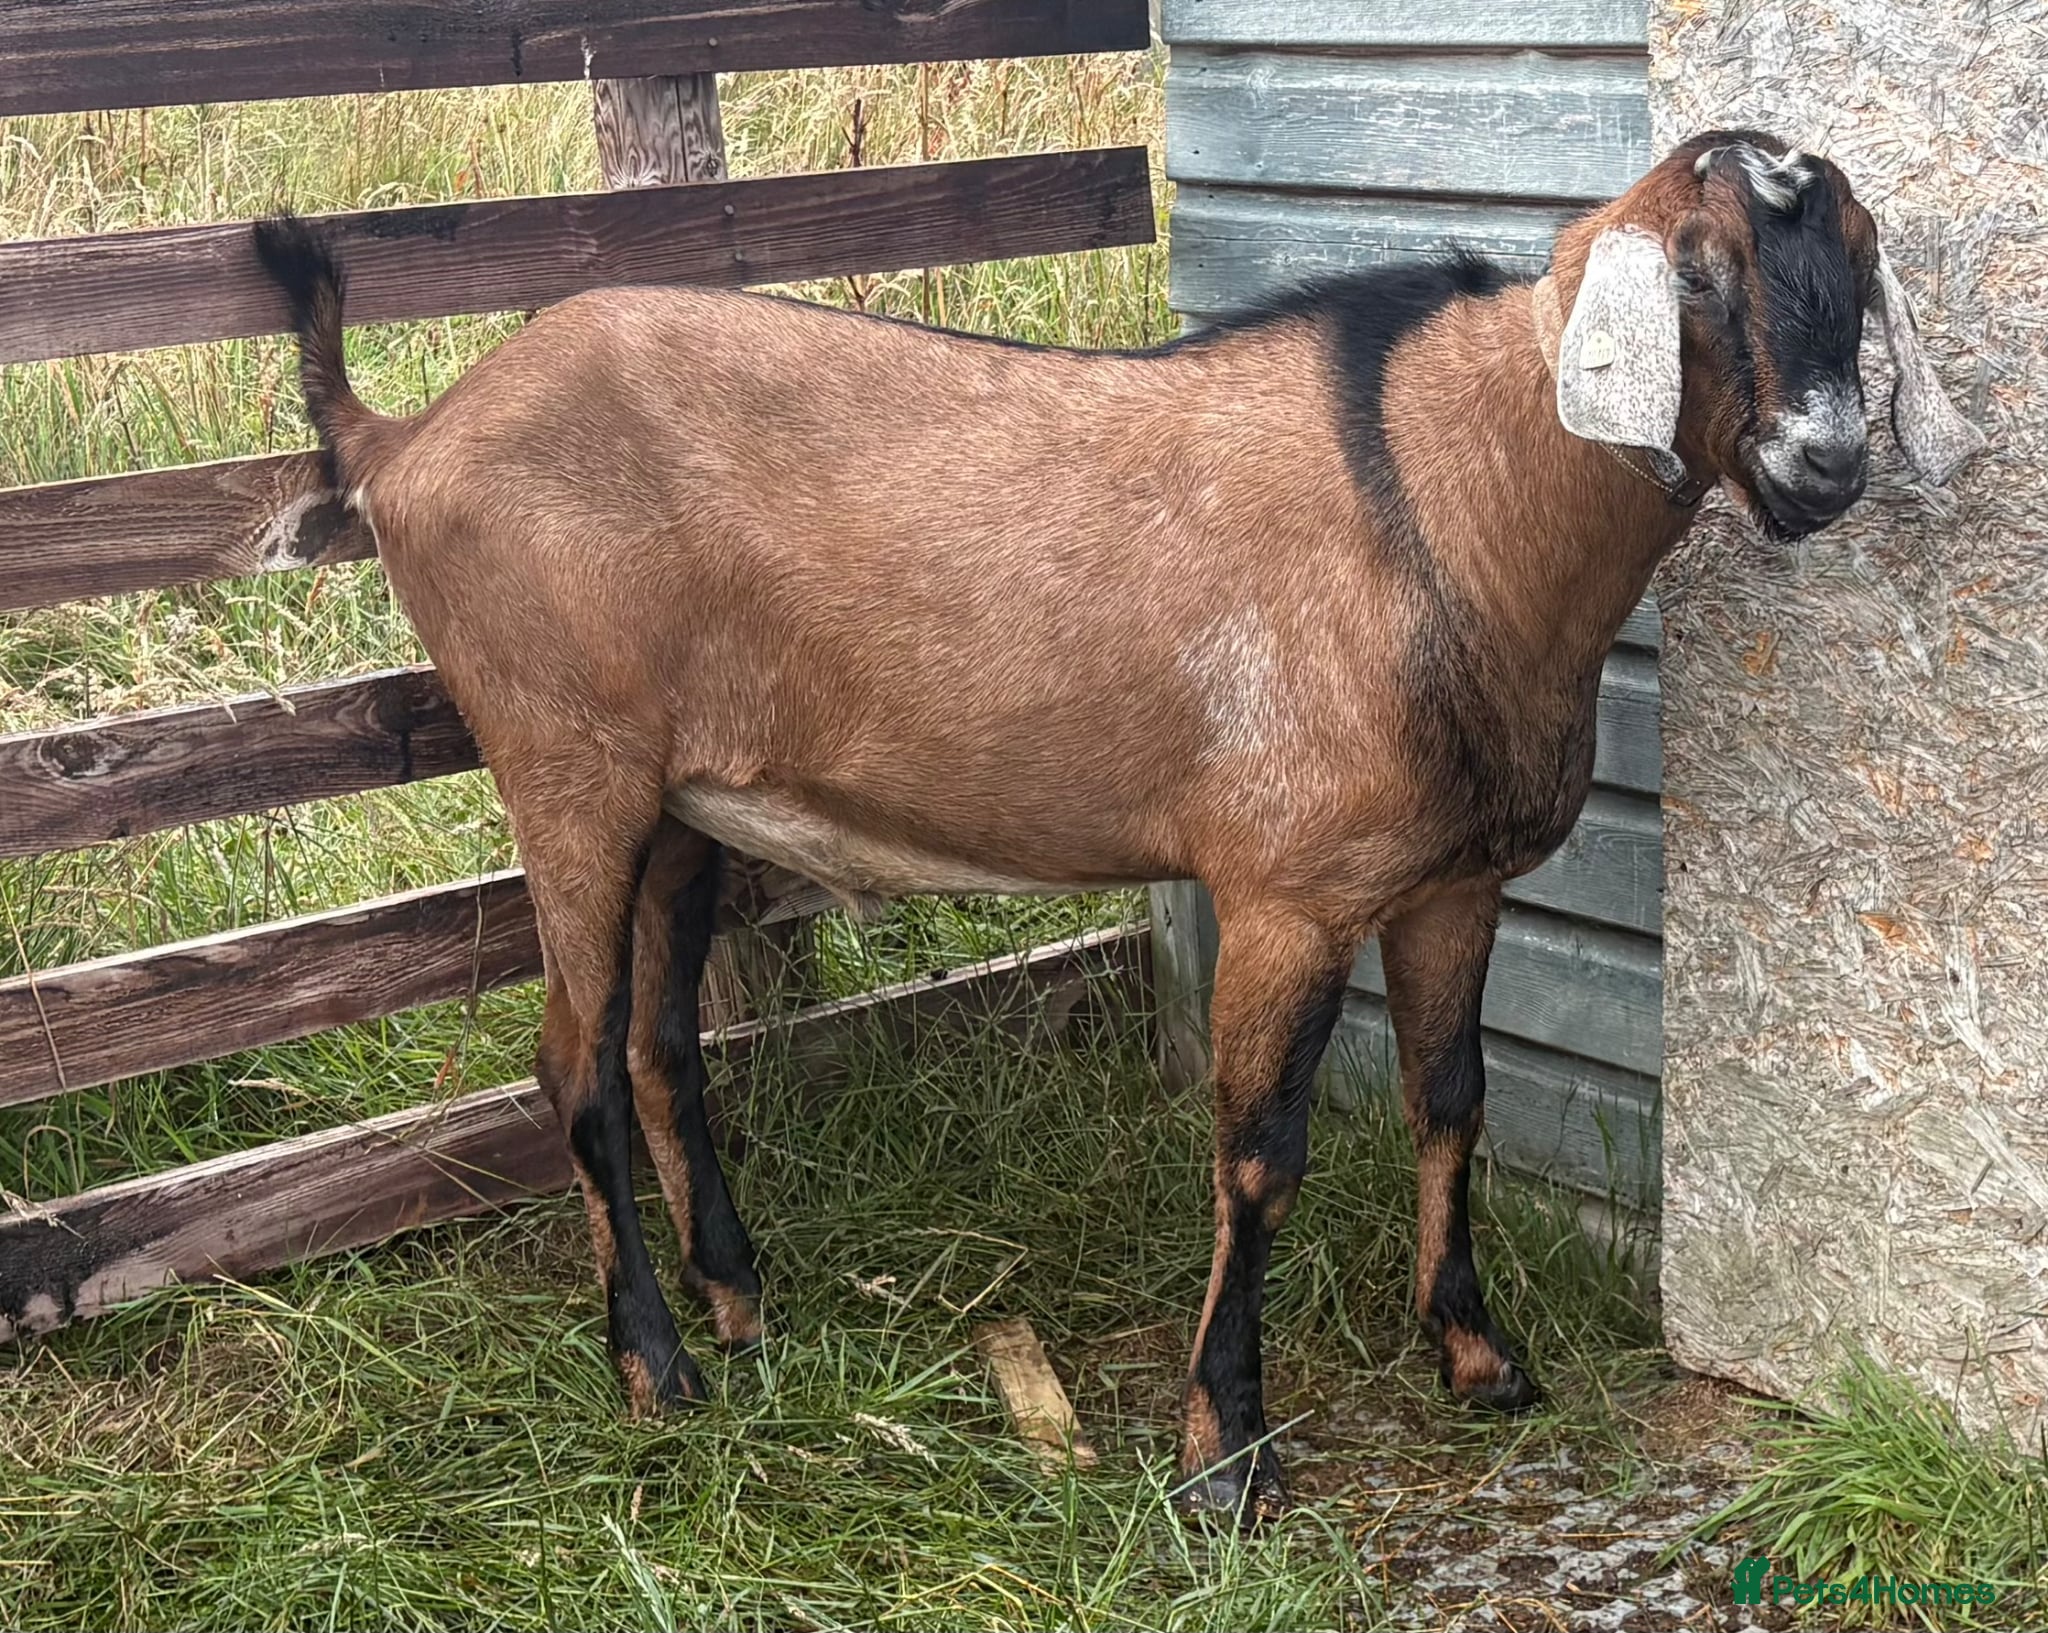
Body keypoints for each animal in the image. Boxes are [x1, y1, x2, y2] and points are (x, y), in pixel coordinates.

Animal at [253, 128, 1980, 1524]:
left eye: (1861, 258)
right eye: (1696, 270)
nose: (1825, 464)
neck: (1450, 500)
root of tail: (408, 437)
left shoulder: (1455, 880)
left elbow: (1453, 1099)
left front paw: (1480, 1356)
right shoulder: (1288, 889)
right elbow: (1261, 1152)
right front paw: (1227, 1455)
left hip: (681, 796)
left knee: (660, 1045)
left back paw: (740, 1308)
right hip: (566, 758)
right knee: (573, 1067)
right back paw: (656, 1372)